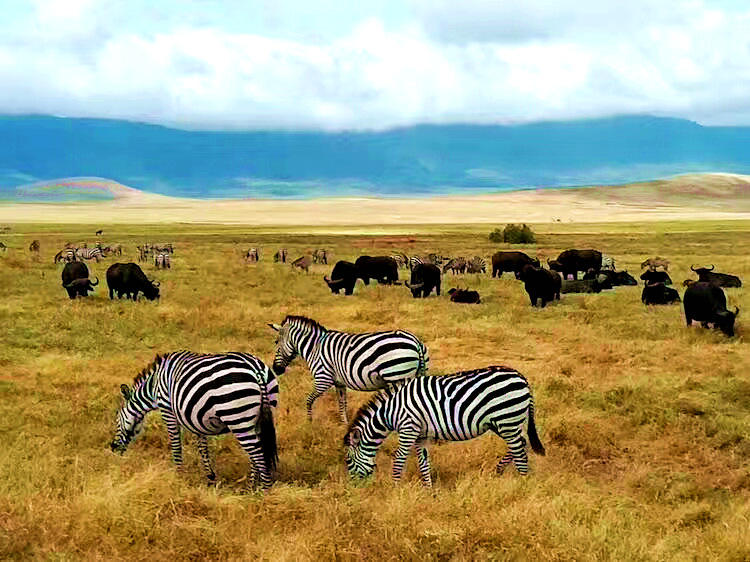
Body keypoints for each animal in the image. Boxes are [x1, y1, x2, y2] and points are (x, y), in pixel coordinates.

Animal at [114, 350, 282, 490]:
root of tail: (254, 368)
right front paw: (210, 477)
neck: (154, 386)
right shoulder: (196, 417)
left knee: (257, 453)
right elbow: (202, 447)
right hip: (260, 415)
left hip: (237, 418)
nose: (112, 448)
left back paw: (263, 491)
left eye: (117, 420)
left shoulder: (167, 409)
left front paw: (179, 476)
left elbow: (176, 446)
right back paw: (251, 487)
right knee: (258, 450)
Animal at [270, 316, 428, 420]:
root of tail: (415, 341)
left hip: (397, 375)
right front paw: (344, 423)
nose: (275, 369)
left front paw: (309, 422)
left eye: (276, 342)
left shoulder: (323, 379)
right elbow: (342, 403)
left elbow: (308, 400)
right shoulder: (339, 383)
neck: (314, 347)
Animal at [346, 366, 548, 484]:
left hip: (507, 420)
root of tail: (522, 378)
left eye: (348, 461)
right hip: (502, 423)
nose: (353, 488)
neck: (391, 411)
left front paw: (395, 488)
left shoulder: (408, 428)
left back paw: (522, 483)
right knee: (520, 444)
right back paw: (498, 471)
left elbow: (399, 460)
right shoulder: (421, 434)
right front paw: (428, 490)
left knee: (520, 453)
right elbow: (423, 462)